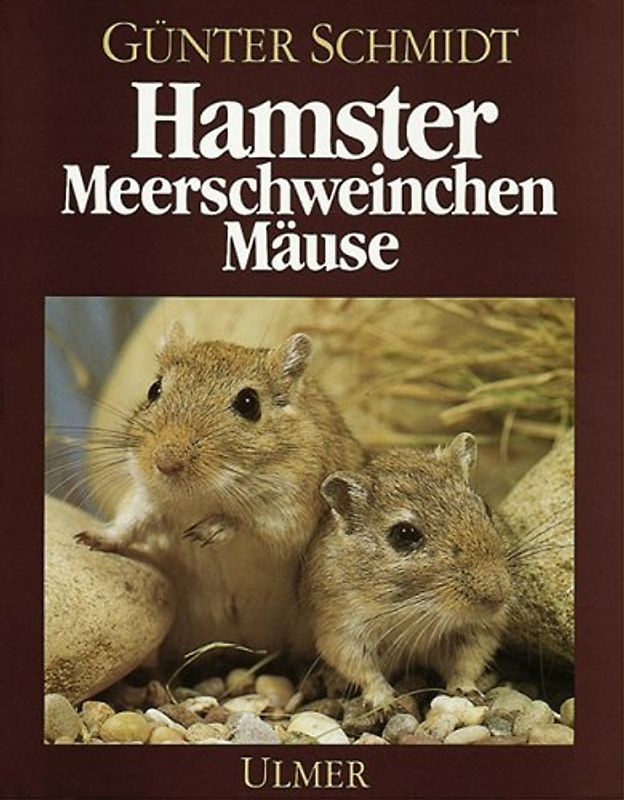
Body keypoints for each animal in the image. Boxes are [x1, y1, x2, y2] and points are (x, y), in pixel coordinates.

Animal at [76, 323, 363, 661]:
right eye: (154, 390)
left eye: (249, 403)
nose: (166, 462)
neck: (198, 499)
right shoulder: (144, 497)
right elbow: (127, 524)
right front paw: (90, 538)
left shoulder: (288, 515)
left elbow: (246, 523)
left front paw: (203, 532)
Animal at [302, 434, 512, 708]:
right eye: (404, 535)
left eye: (485, 508)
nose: (498, 597)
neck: (415, 611)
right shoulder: (341, 631)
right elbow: (366, 672)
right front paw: (384, 704)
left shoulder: (478, 631)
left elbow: (466, 664)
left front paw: (467, 692)